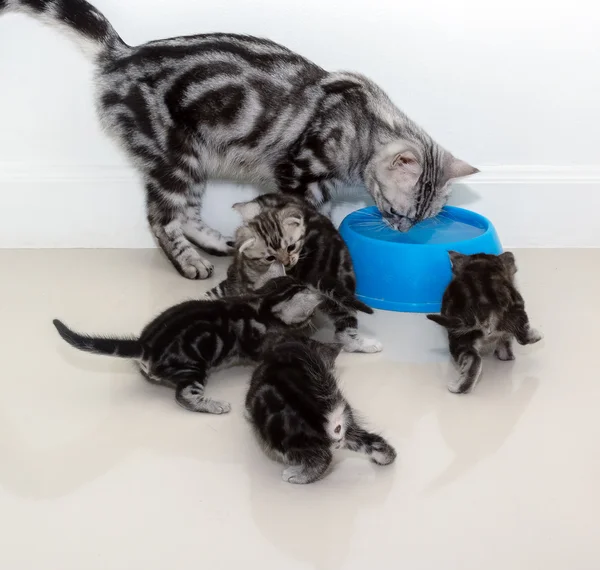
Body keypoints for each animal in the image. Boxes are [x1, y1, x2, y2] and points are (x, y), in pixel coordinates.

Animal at [0, 0, 478, 278]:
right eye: (401, 211)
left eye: (423, 218)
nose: (403, 229)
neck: (361, 124)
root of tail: (121, 53)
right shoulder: (298, 175)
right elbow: (300, 222)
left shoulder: (317, 187)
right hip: (173, 157)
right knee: (161, 219)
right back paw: (188, 263)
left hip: (192, 161)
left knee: (188, 213)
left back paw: (217, 242)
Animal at [52, 272, 324, 410]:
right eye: (310, 314)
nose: (316, 319)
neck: (262, 302)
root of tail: (146, 344)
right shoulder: (257, 345)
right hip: (193, 367)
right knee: (183, 396)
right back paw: (214, 405)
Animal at [246, 336, 396, 482]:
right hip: (347, 428)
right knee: (375, 442)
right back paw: (386, 458)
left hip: (287, 440)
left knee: (323, 459)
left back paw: (297, 476)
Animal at [426, 251, 544, 392]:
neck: (481, 265)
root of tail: (485, 309)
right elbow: (507, 342)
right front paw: (506, 356)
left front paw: (505, 356)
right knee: (521, 338)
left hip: (460, 336)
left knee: (474, 359)